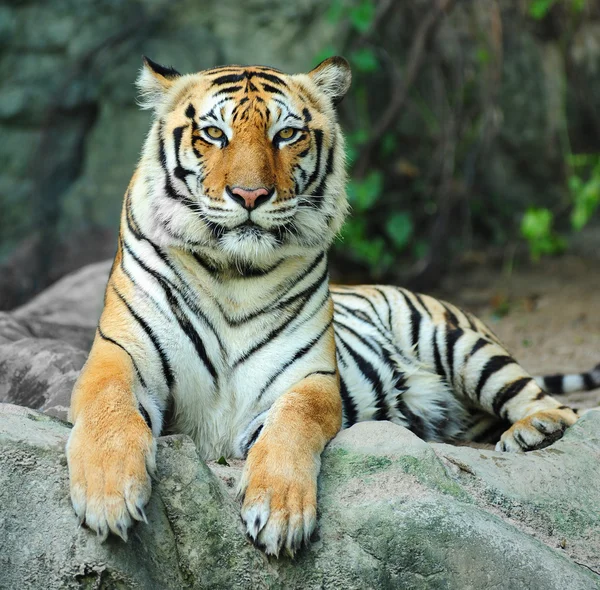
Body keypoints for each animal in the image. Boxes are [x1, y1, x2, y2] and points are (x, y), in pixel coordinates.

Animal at [65, 55, 600, 560]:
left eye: (286, 135)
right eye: (214, 133)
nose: (250, 195)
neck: (234, 274)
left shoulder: (309, 378)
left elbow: (290, 427)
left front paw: (279, 512)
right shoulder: (118, 356)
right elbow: (109, 408)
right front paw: (109, 496)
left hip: (459, 343)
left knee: (554, 404)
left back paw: (536, 431)